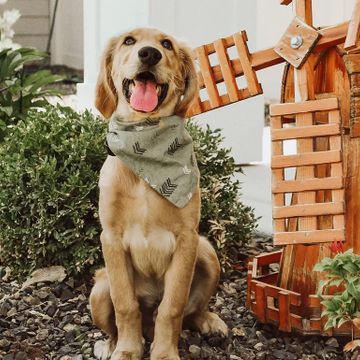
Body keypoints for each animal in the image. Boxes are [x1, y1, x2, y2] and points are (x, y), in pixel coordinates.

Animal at [88, 26, 226, 360]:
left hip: (207, 253)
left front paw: (163, 353)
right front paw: (127, 350)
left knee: (192, 311)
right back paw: (111, 345)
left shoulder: (187, 239)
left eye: (167, 44)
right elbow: (126, 306)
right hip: (98, 290)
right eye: (129, 41)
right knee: (117, 319)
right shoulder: (111, 239)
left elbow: (172, 308)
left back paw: (210, 321)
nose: (149, 53)